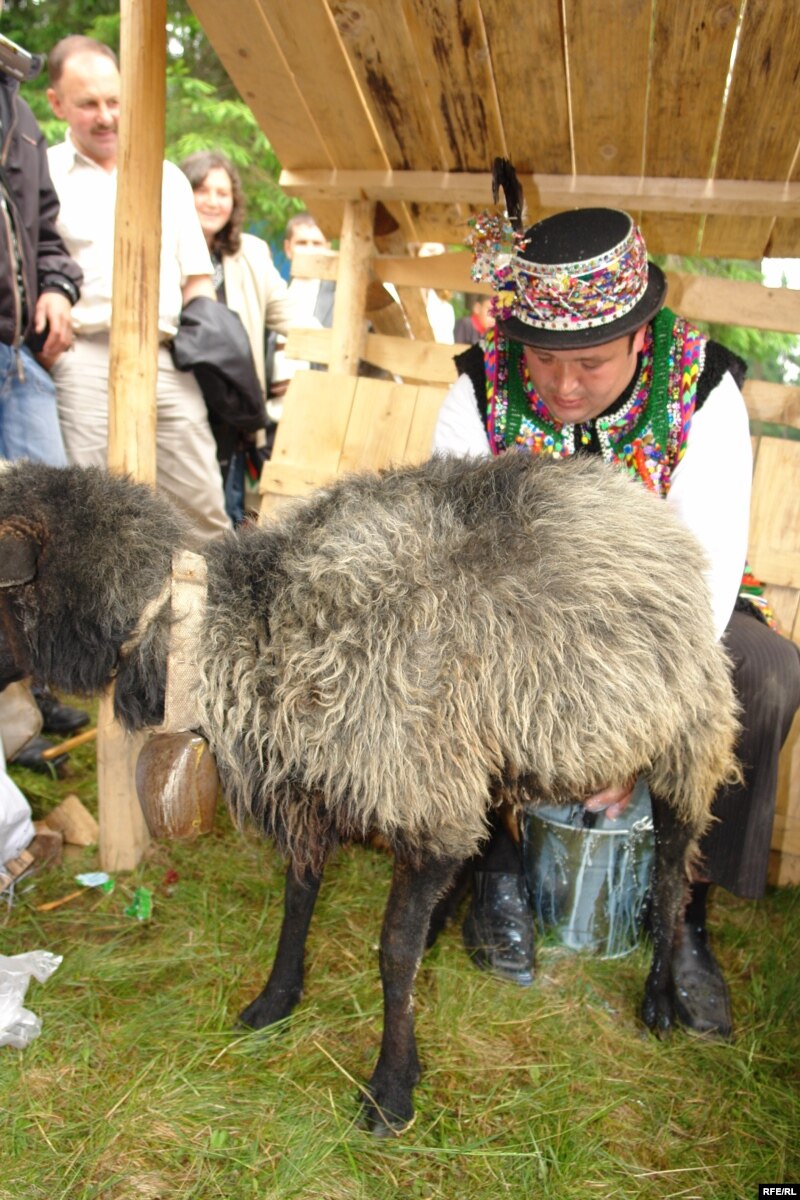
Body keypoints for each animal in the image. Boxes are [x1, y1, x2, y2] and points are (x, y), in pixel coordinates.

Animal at [0, 454, 739, 1136]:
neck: (245, 628)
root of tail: (632, 493)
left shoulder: (422, 797)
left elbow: (392, 949)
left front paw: (392, 1088)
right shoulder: (313, 791)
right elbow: (299, 900)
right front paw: (275, 1002)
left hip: (687, 735)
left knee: (672, 878)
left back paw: (662, 998)